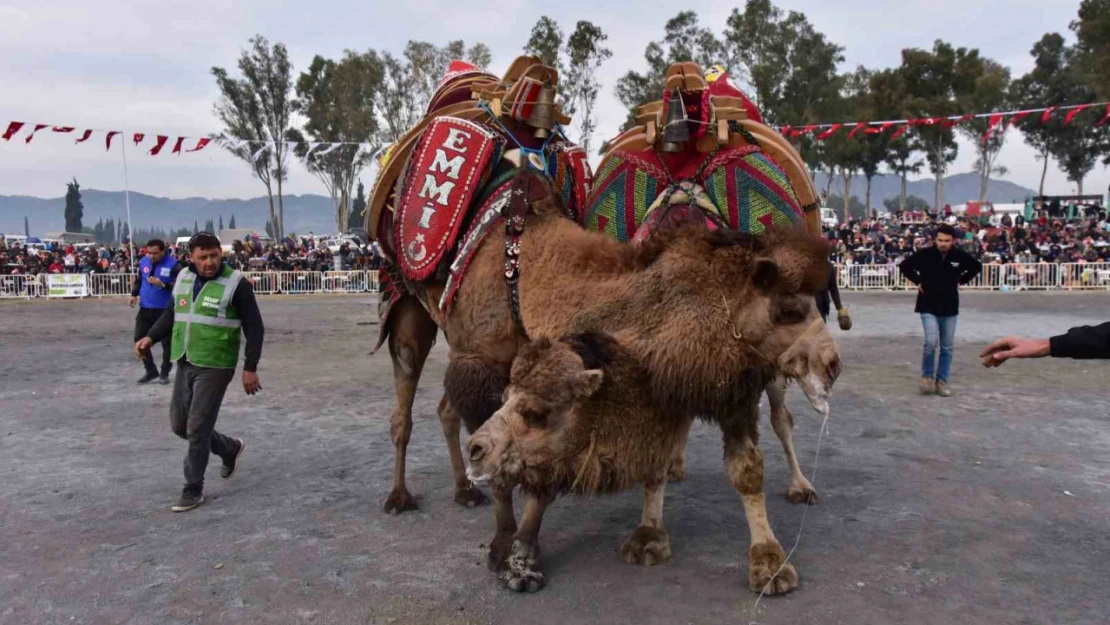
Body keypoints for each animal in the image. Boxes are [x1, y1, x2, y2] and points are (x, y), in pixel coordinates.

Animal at [463, 330, 812, 595]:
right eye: (504, 397)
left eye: (537, 413)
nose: (475, 450)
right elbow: (653, 465)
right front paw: (522, 566)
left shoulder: (733, 391)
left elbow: (746, 469)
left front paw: (770, 564)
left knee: (782, 419)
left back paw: (801, 487)